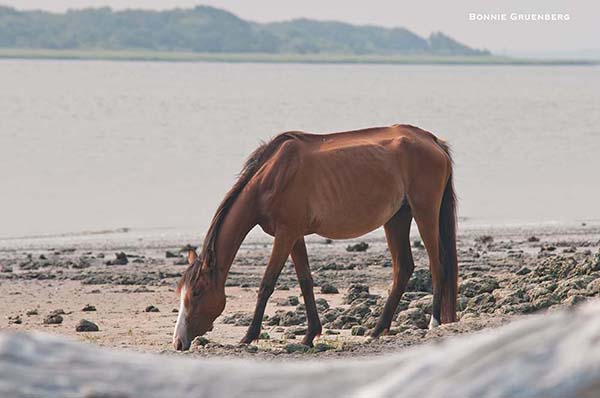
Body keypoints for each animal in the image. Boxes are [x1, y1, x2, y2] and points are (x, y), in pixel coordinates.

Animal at [171, 124, 458, 352]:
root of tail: (433, 141)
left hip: (424, 212)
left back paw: (433, 322)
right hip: (397, 218)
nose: (178, 342)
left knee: (437, 264)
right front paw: (310, 335)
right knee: (403, 269)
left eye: (197, 292)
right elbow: (306, 282)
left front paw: (248, 336)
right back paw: (377, 330)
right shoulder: (294, 236)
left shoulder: (285, 234)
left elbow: (266, 284)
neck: (273, 175)